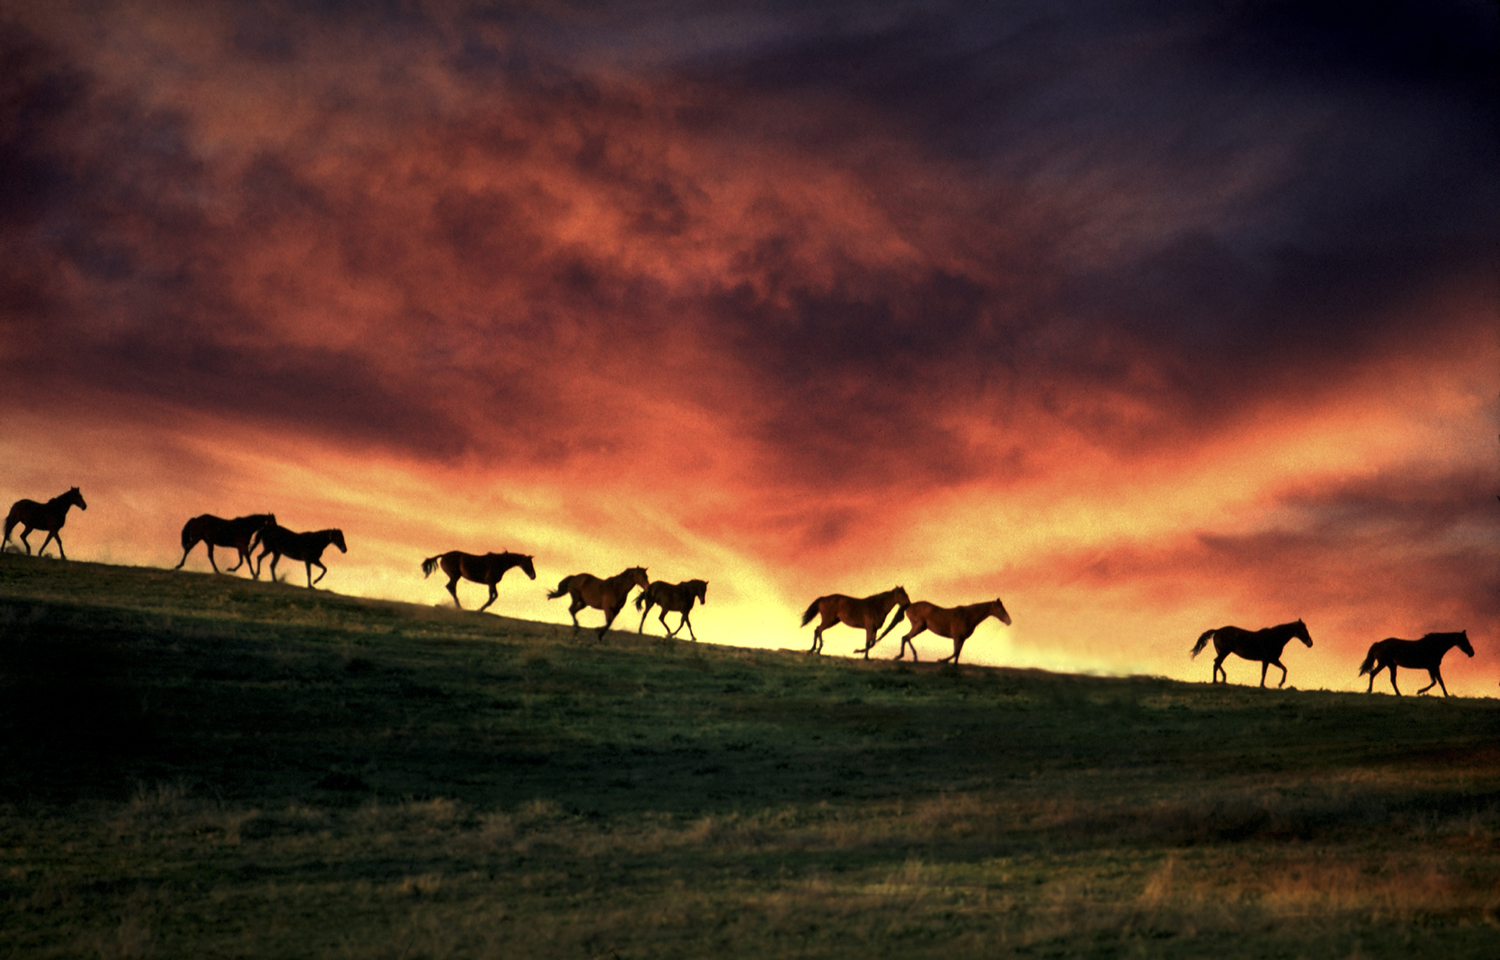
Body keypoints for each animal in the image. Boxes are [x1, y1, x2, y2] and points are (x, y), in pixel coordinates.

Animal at [882, 597, 1014, 663]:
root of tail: (910, 605)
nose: (1009, 621)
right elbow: (955, 652)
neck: (968, 616)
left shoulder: (962, 639)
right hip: (919, 626)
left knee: (905, 638)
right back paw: (906, 657)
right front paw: (941, 660)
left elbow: (957, 654)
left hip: (920, 627)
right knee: (905, 637)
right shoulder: (957, 637)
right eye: (1000, 609)